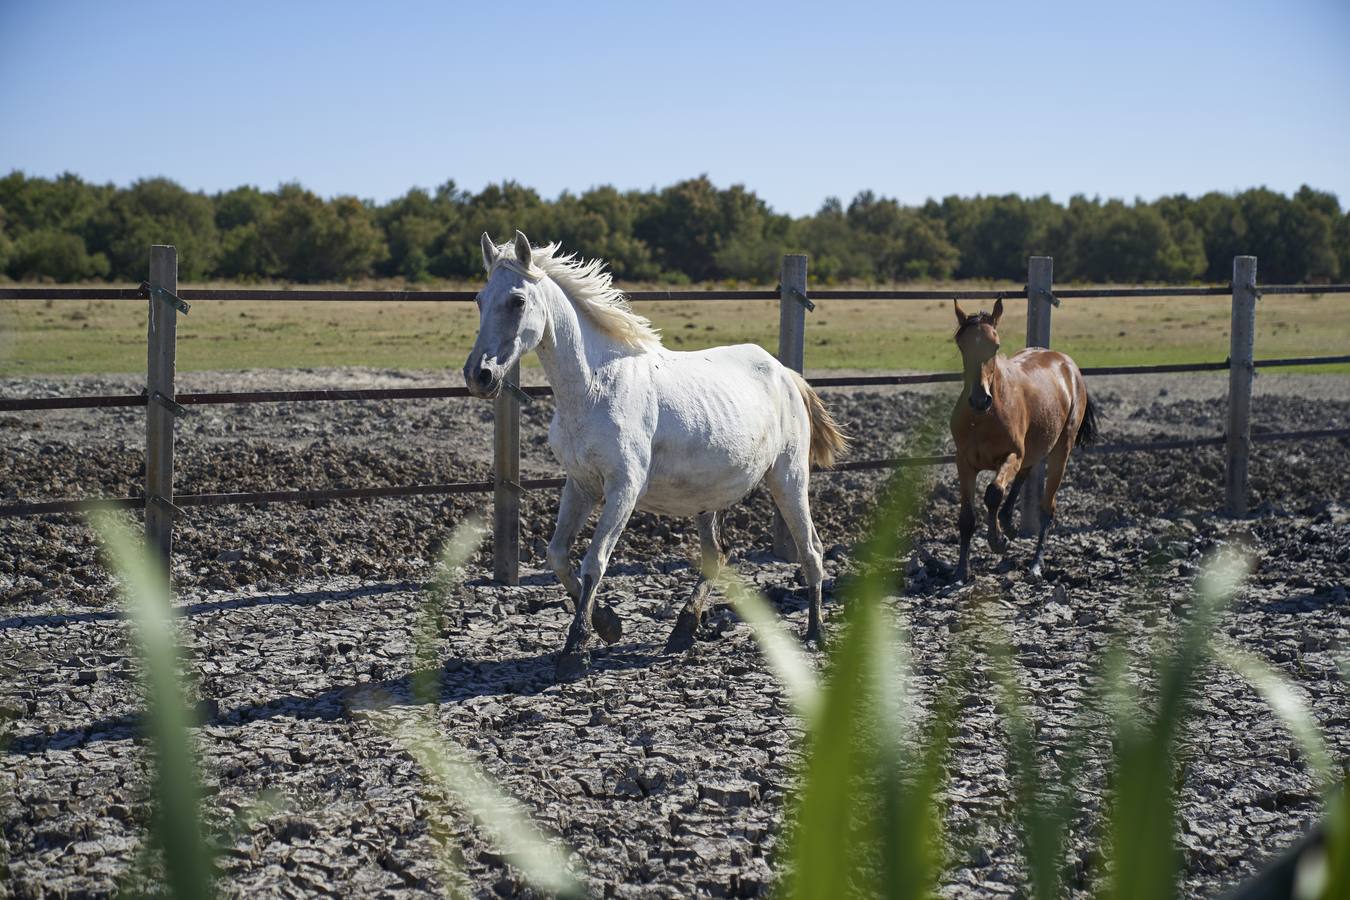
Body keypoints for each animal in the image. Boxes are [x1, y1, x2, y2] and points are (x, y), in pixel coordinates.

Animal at [464, 234, 842, 682]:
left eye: (518, 300)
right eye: (479, 299)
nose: (479, 375)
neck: (594, 387)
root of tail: (786, 374)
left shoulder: (623, 488)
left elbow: (595, 561)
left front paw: (574, 654)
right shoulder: (580, 484)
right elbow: (557, 556)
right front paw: (609, 625)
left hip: (788, 478)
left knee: (811, 549)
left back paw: (815, 633)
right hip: (708, 498)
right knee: (717, 555)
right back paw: (683, 631)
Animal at [950, 299, 1096, 580]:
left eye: (995, 345)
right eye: (961, 345)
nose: (980, 399)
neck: (982, 419)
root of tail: (1066, 363)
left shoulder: (1012, 455)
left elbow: (993, 492)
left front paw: (997, 542)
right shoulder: (964, 462)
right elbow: (966, 518)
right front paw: (962, 570)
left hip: (1062, 449)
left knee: (1047, 507)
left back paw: (1035, 564)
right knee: (1025, 475)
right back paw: (1009, 524)